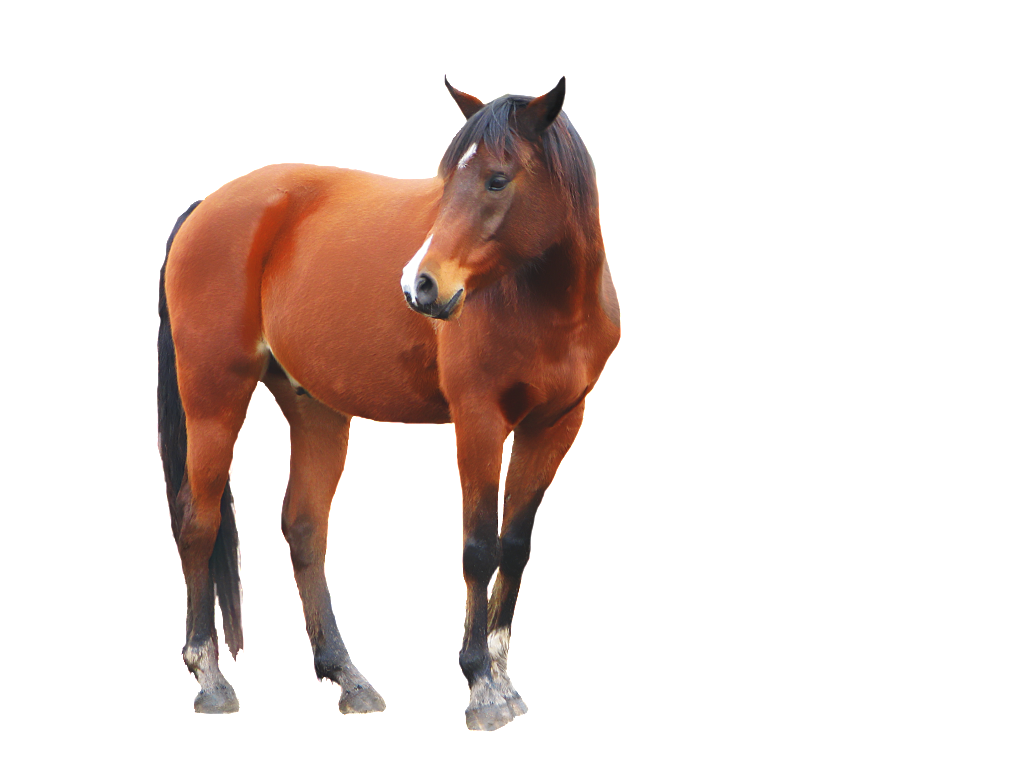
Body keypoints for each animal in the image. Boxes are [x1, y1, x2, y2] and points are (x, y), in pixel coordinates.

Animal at [157, 76, 620, 731]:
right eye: (447, 178)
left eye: (497, 179)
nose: (419, 285)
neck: (541, 301)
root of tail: (206, 207)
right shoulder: (478, 423)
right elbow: (479, 549)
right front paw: (480, 685)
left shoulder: (555, 426)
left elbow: (515, 547)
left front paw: (504, 677)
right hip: (214, 395)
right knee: (198, 521)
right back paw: (211, 678)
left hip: (315, 409)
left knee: (304, 528)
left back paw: (347, 676)